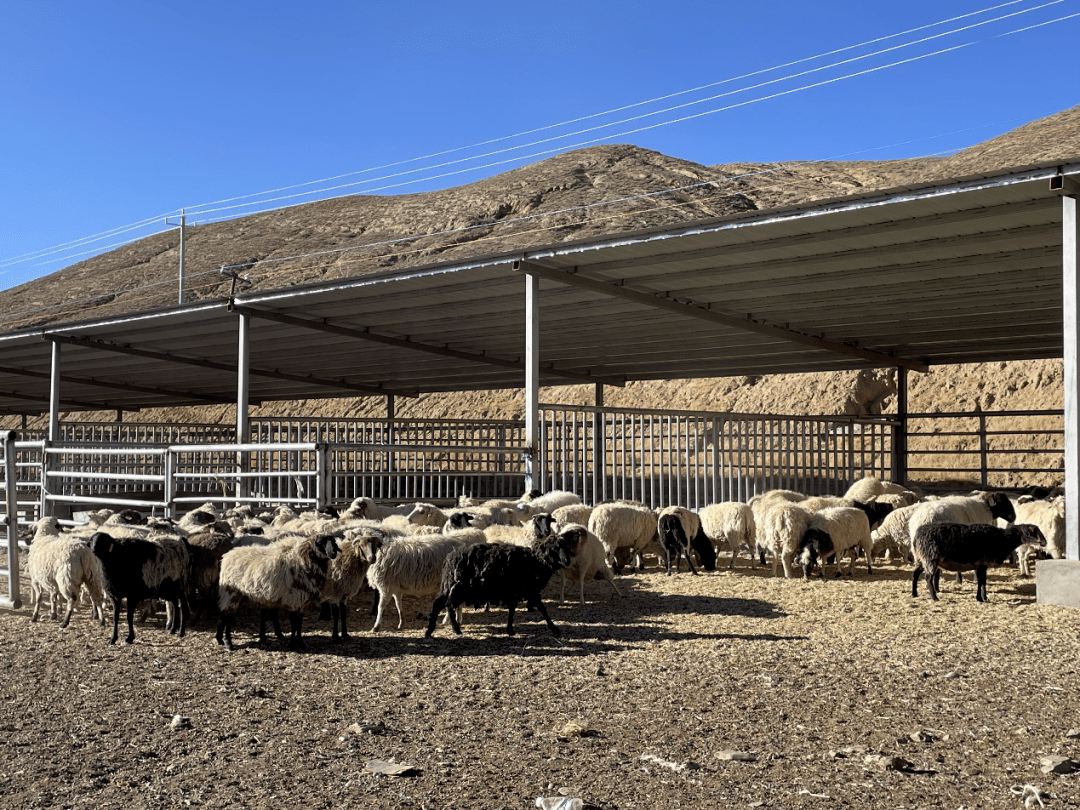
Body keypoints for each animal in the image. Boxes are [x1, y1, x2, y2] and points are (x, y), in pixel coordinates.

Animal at [358, 527, 486, 635]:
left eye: (373, 544)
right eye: (361, 545)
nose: (371, 558)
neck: (382, 552)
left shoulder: (386, 586)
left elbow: (381, 606)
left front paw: (375, 627)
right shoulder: (395, 587)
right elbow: (398, 604)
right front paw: (401, 623)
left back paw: (453, 621)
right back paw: (456, 621)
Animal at [425, 529, 587, 643]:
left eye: (565, 547)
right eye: (554, 549)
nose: (566, 561)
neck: (535, 562)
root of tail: (450, 558)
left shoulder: (516, 590)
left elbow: (513, 609)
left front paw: (510, 629)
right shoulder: (528, 590)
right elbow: (541, 608)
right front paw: (554, 628)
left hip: (452, 587)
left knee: (442, 604)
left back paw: (443, 630)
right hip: (456, 587)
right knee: (446, 604)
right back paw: (445, 630)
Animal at [911, 520, 1045, 604]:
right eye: (1031, 533)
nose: (1044, 542)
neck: (1002, 540)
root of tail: (917, 534)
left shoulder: (983, 565)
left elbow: (984, 582)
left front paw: (985, 598)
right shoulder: (980, 564)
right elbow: (980, 582)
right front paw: (980, 599)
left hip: (921, 559)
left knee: (915, 574)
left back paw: (914, 594)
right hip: (930, 558)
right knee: (928, 578)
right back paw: (934, 597)